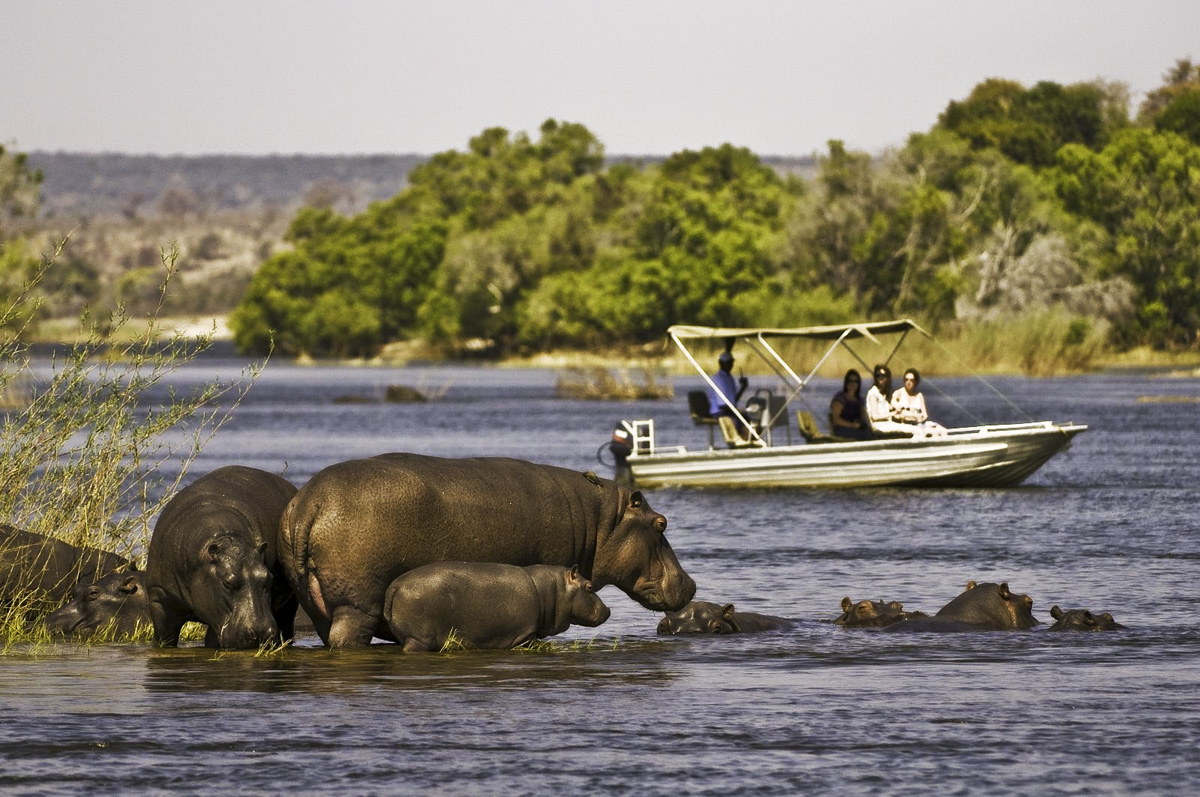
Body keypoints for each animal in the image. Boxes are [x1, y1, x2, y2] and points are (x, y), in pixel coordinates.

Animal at [143, 468, 300, 648]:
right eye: (227, 582)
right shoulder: (159, 596)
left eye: (268, 578)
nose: (261, 632)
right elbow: (164, 636)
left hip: (290, 604)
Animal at [384, 564, 609, 652]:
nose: (608, 610)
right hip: (419, 639)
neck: (553, 591)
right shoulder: (525, 635)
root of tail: (394, 586)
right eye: (590, 586)